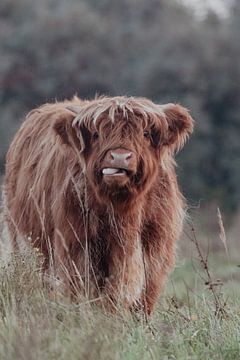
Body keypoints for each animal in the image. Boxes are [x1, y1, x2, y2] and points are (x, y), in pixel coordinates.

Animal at [4, 95, 193, 316]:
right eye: (96, 134)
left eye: (145, 133)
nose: (119, 157)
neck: (124, 213)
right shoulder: (77, 244)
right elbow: (87, 289)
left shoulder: (156, 246)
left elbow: (144, 293)